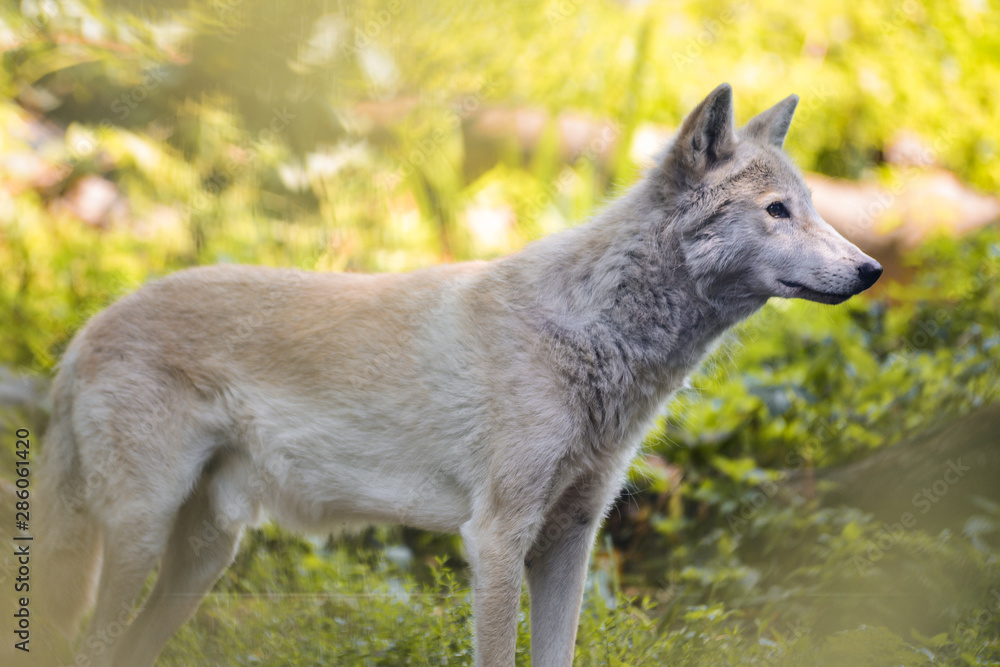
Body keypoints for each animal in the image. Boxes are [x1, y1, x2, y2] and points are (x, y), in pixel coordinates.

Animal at [31, 83, 881, 667]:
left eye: (810, 207)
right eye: (777, 211)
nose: (872, 269)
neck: (597, 333)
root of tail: (84, 334)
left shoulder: (571, 540)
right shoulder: (497, 539)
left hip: (204, 556)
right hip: (137, 539)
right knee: (87, 647)